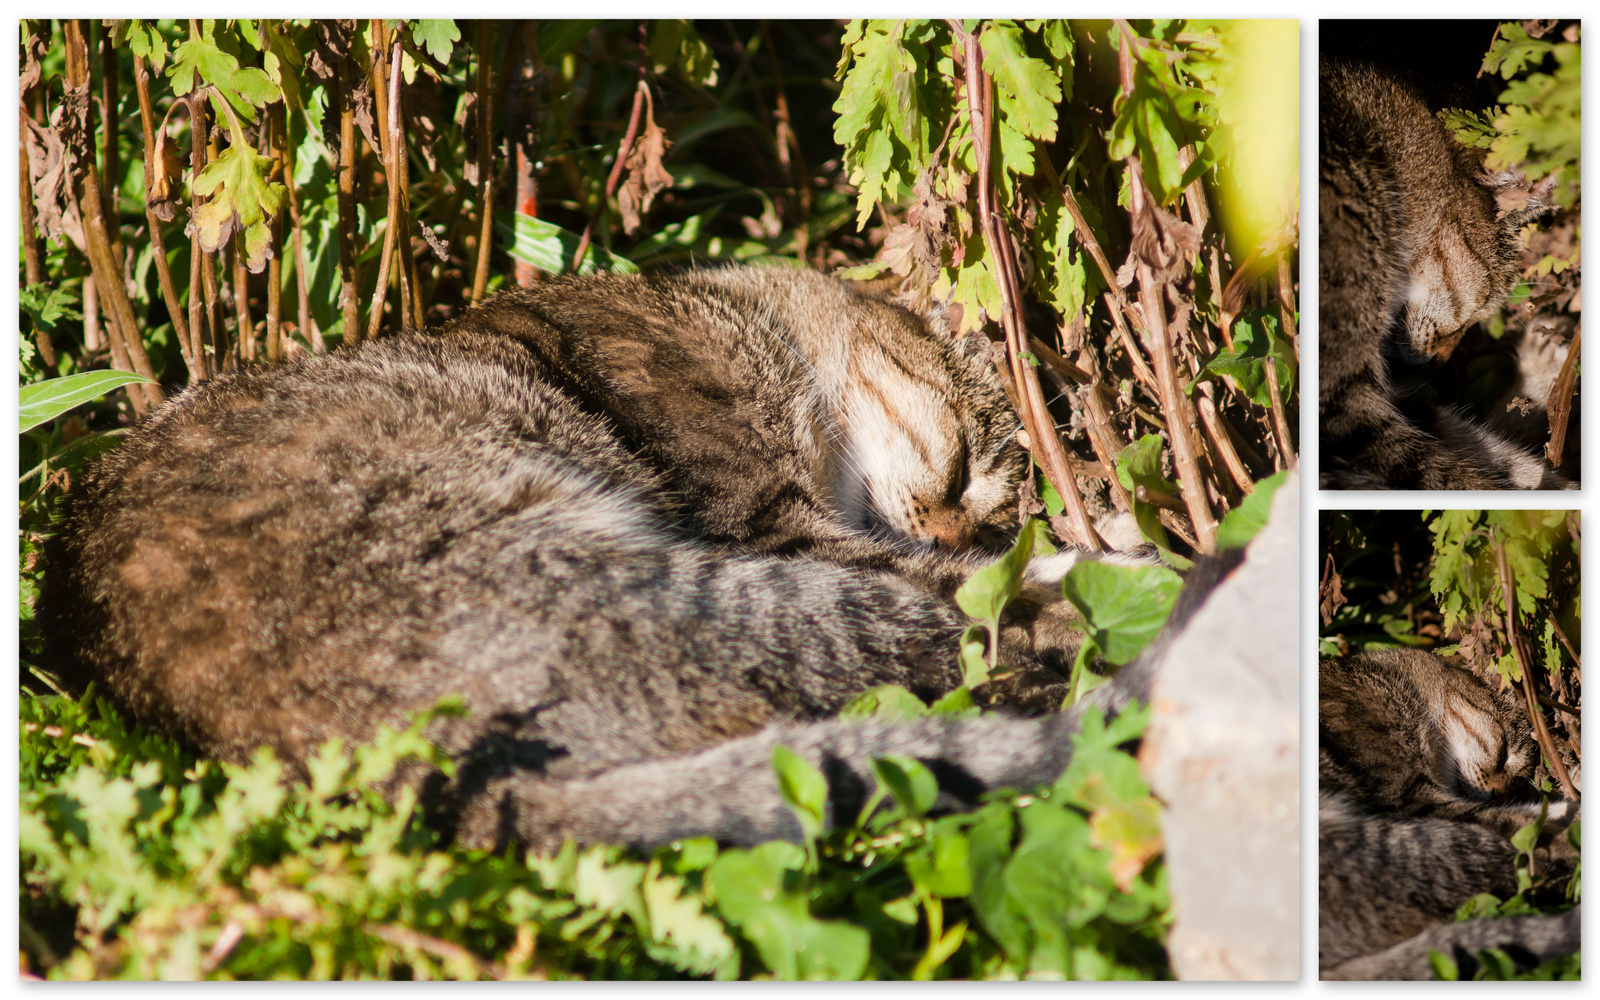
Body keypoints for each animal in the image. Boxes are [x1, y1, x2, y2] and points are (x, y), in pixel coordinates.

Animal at [40, 265, 1177, 851]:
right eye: (967, 469)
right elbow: (989, 587)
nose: (961, 533)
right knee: (951, 649)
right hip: (727, 591)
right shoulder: (774, 519)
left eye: (987, 508)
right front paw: (1093, 566)